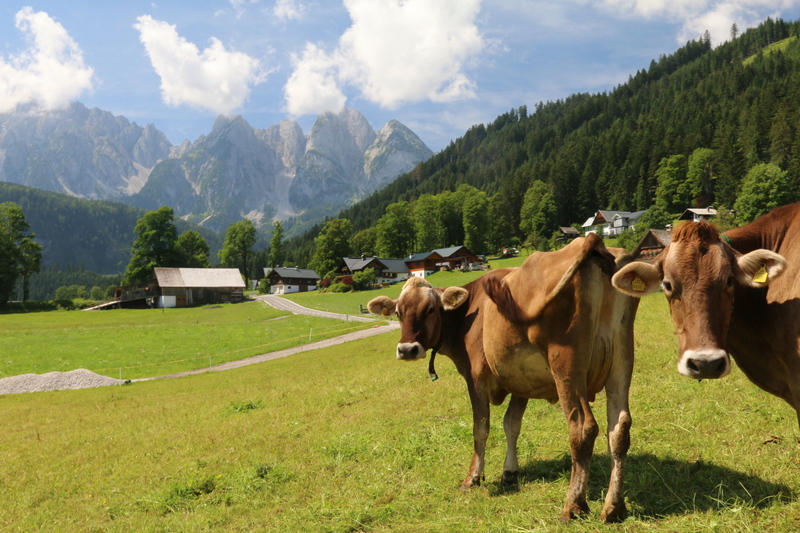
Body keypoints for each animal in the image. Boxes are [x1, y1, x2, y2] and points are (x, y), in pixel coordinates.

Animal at [368, 235, 636, 520]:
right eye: (398, 312)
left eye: (430, 309)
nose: (407, 349)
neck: (468, 313)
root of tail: (589, 240)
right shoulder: (521, 379)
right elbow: (512, 424)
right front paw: (509, 471)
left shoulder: (475, 378)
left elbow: (481, 427)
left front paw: (473, 477)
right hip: (621, 358)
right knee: (619, 427)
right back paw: (614, 507)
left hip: (566, 364)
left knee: (583, 427)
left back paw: (573, 505)